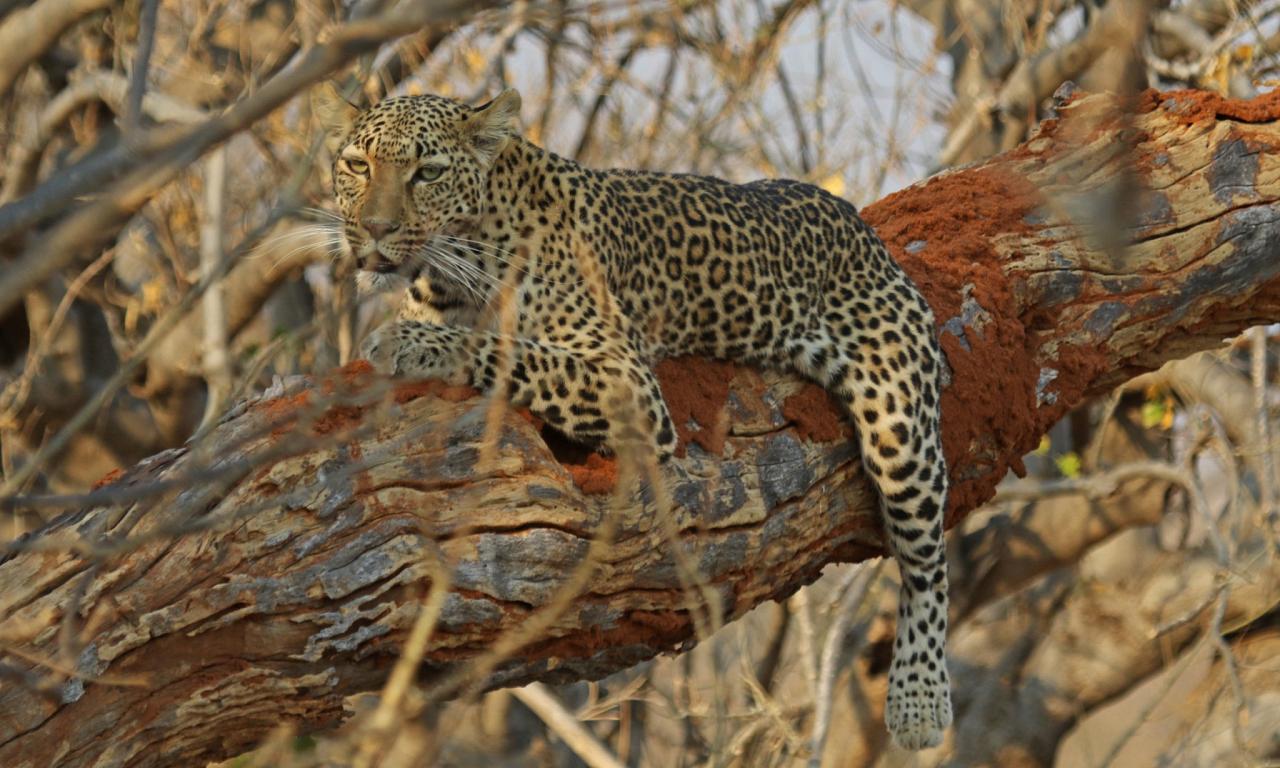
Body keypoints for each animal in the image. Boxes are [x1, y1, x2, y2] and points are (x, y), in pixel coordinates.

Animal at [309, 83, 952, 747]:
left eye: (429, 172)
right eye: (358, 165)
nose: (375, 230)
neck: (456, 265)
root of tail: (857, 222)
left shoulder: (626, 378)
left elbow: (513, 351)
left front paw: (408, 343)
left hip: (897, 417)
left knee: (927, 559)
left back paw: (919, 703)